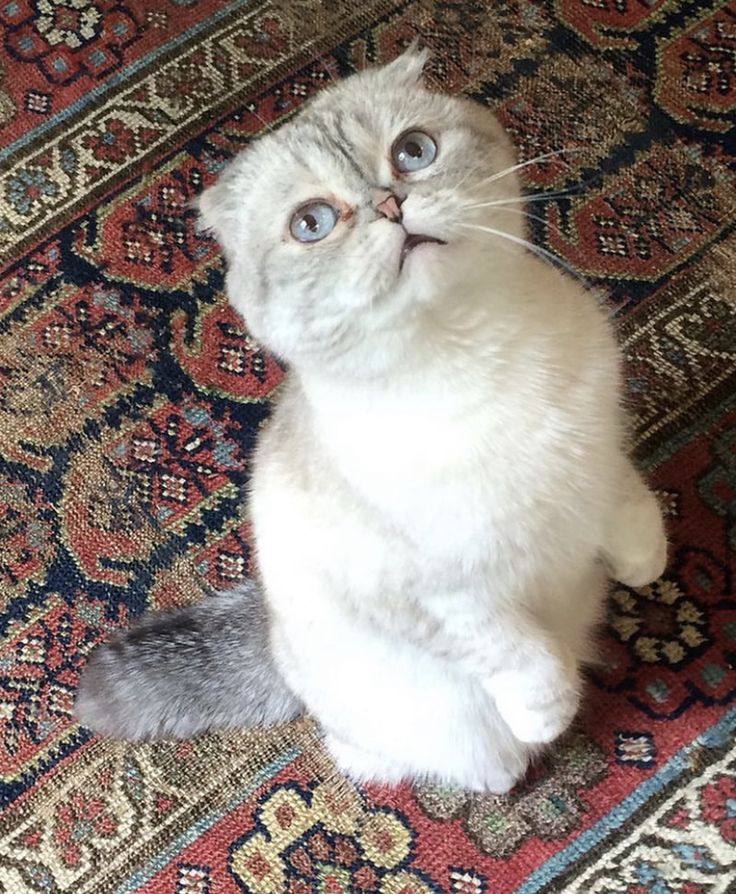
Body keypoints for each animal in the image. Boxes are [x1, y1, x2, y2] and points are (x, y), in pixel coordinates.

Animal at [76, 45, 668, 796]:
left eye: (413, 152)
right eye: (312, 223)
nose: (392, 204)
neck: (476, 355)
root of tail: (271, 636)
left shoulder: (596, 450)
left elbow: (627, 504)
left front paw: (647, 563)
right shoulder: (434, 596)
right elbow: (517, 652)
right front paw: (549, 707)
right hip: (433, 723)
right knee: (409, 755)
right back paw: (514, 767)